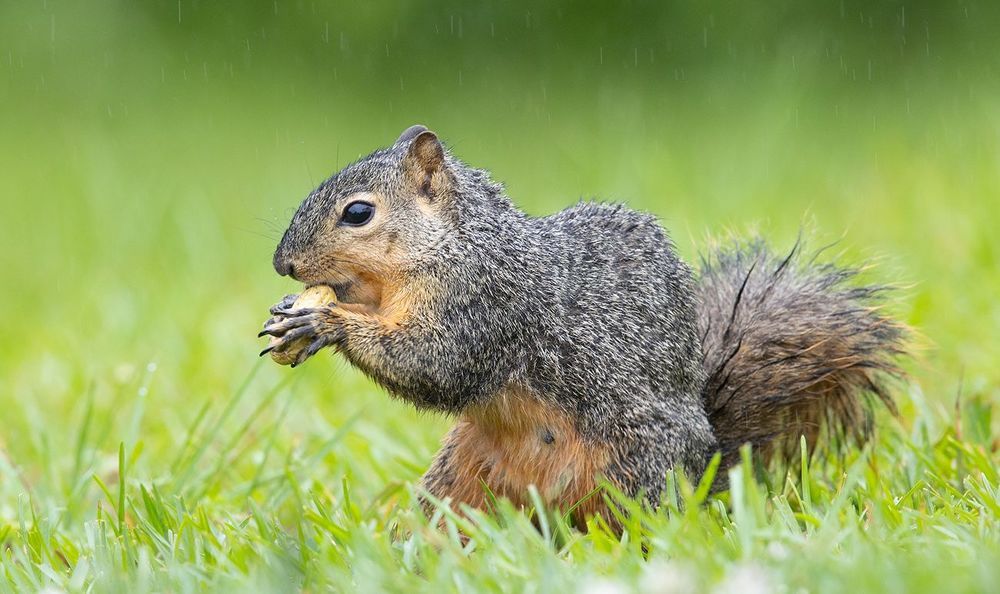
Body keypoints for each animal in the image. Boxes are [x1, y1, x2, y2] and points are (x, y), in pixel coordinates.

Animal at [260, 125, 906, 526]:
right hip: (460, 480)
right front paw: (296, 317)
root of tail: (706, 466)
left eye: (358, 213)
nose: (283, 264)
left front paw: (325, 318)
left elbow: (436, 364)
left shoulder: (488, 302)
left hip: (634, 471)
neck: (454, 243)